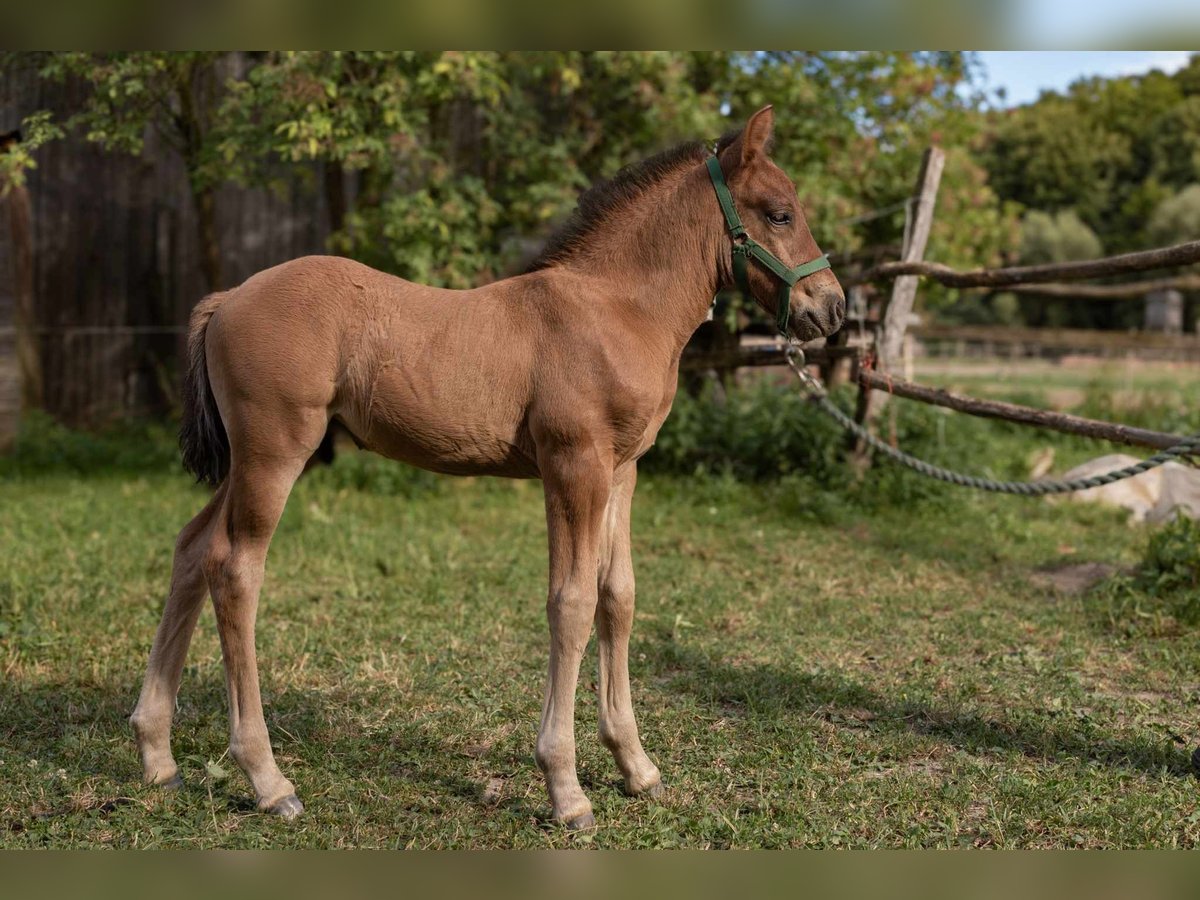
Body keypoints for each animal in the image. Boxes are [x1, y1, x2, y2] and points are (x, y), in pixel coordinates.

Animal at [129, 105, 844, 830]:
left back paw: (158, 757)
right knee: (235, 570)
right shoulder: (574, 466)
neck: (615, 309)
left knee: (193, 549)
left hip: (246, 460)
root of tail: (227, 299)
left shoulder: (622, 471)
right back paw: (267, 779)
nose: (831, 307)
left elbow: (618, 598)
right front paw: (566, 788)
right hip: (275, 453)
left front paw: (636, 767)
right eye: (780, 213)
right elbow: (572, 603)